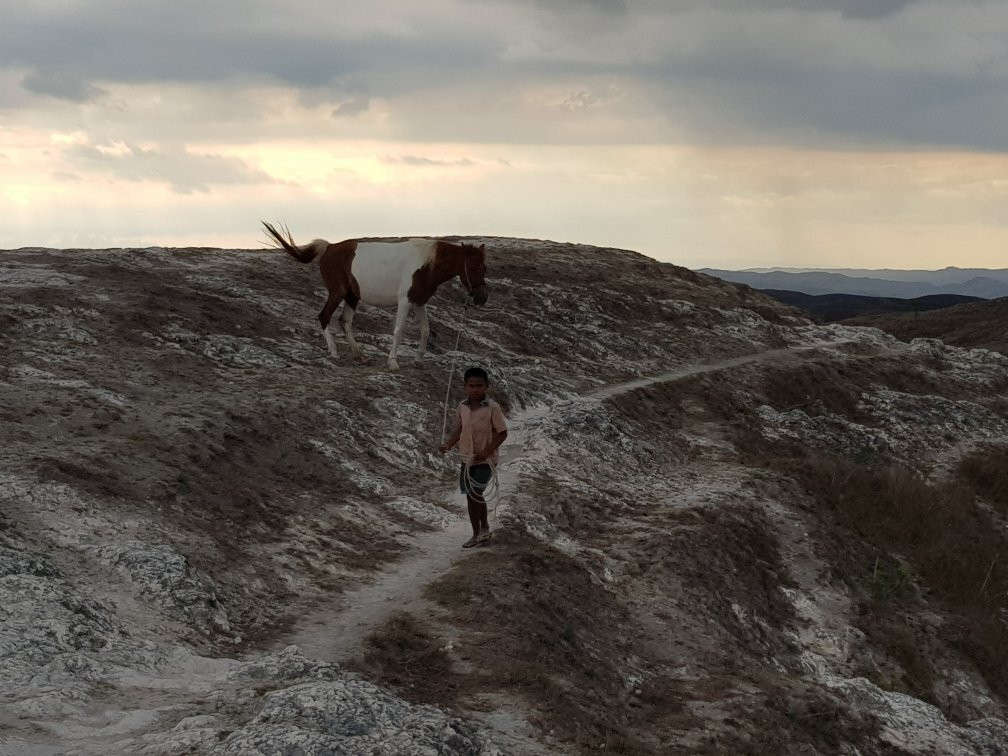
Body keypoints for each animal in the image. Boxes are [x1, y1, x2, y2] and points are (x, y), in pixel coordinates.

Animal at [264, 220, 487, 370]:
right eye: (473, 268)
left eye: (484, 268)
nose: (482, 298)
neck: (427, 263)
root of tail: (329, 247)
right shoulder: (405, 301)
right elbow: (399, 330)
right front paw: (393, 362)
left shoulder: (420, 302)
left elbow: (425, 330)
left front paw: (418, 359)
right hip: (338, 292)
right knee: (324, 316)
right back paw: (334, 352)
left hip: (352, 296)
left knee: (345, 321)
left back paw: (359, 355)